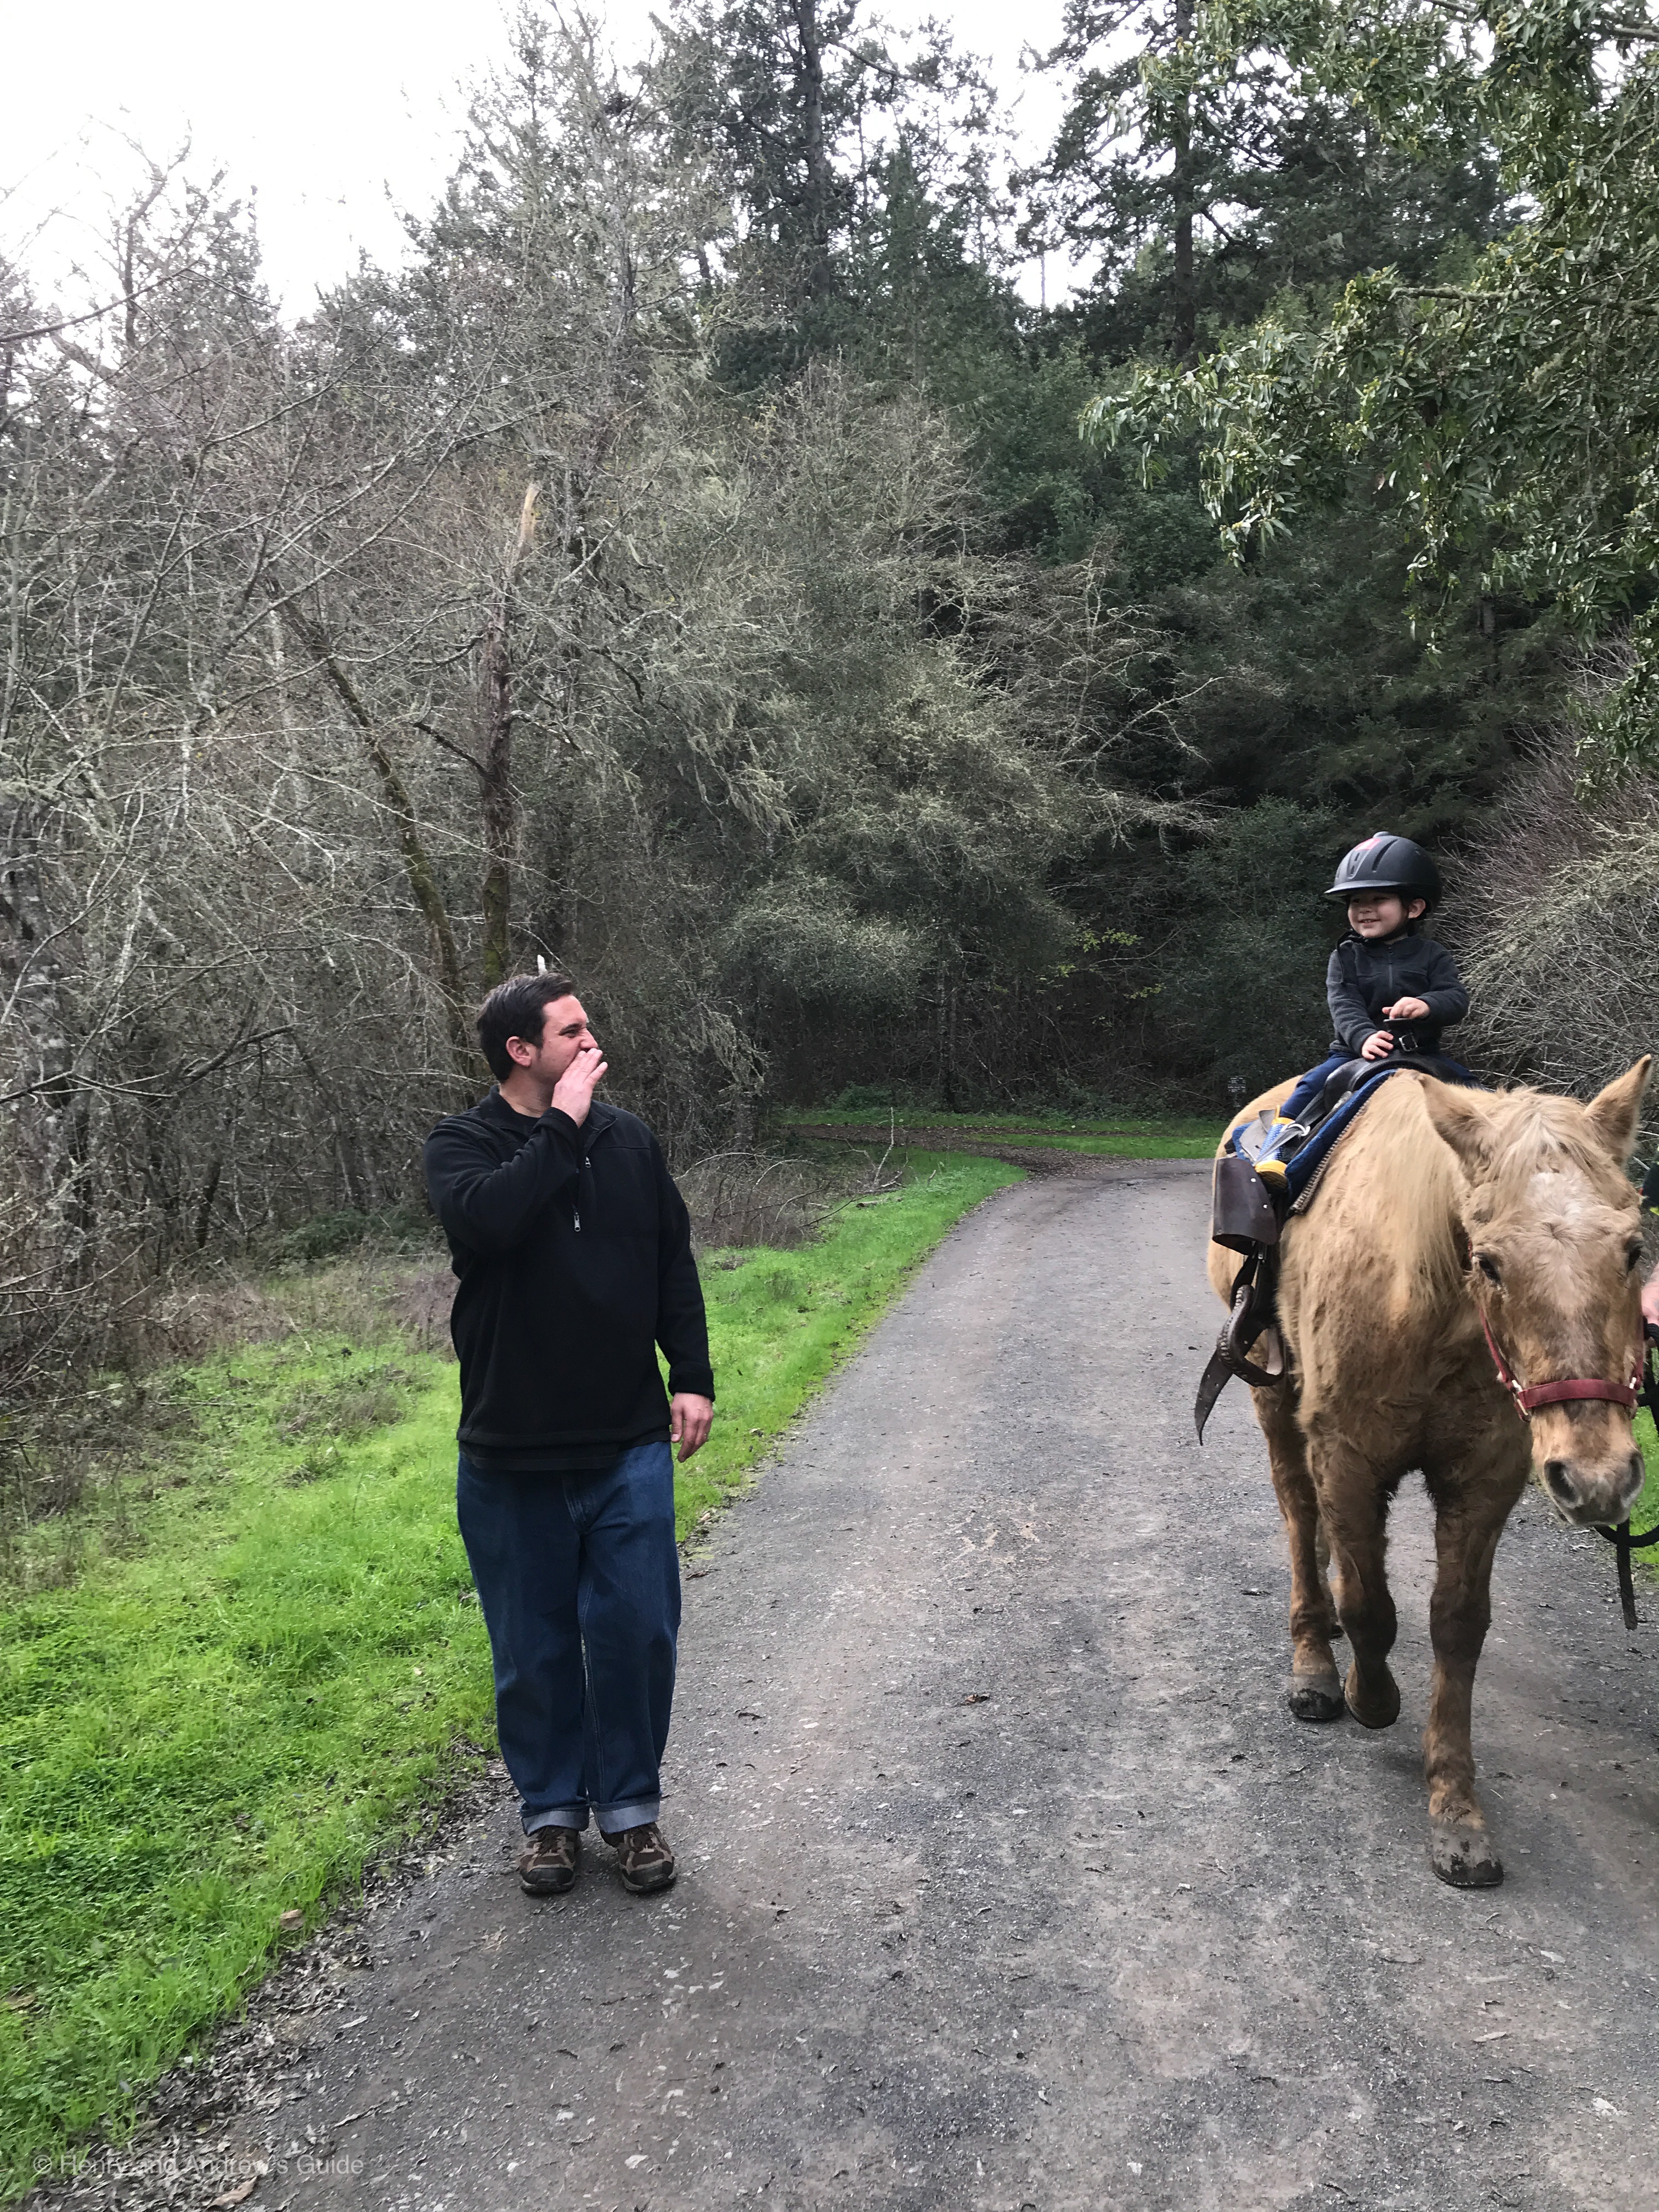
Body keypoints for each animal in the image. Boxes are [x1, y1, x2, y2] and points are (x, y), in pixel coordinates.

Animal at [1212, 1062, 1654, 1893]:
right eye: (1490, 1261)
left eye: (1633, 1249)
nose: (1598, 1477)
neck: (1425, 1302)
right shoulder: (1348, 1455)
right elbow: (1371, 1609)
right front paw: (1367, 1695)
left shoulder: (1485, 1480)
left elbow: (1456, 1625)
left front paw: (1456, 1810)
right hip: (1276, 1405)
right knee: (1300, 1519)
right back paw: (1315, 1663)